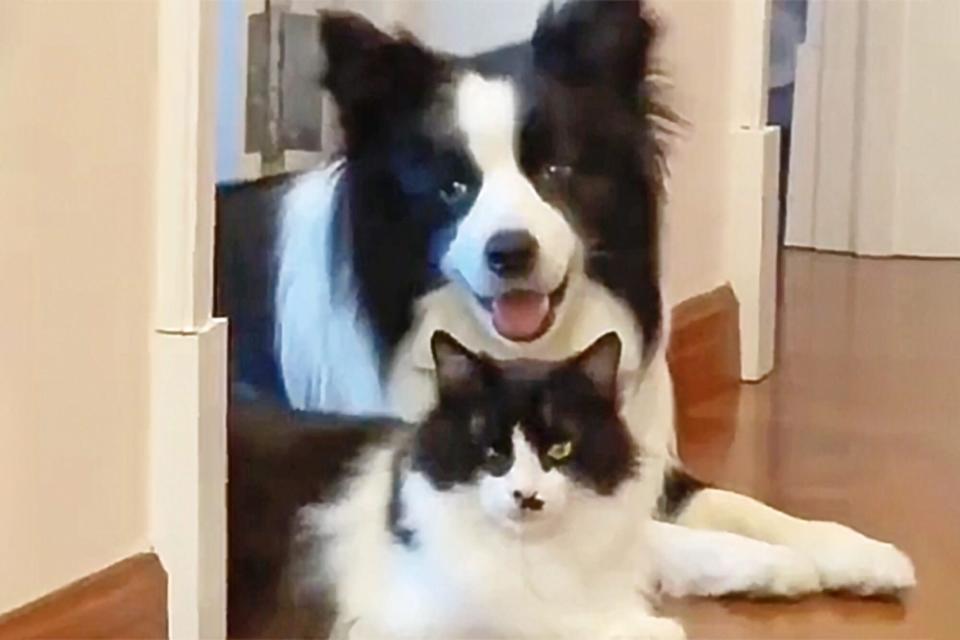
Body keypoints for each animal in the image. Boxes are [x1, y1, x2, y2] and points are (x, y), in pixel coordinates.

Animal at [218, 0, 916, 600]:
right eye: (452, 186)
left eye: (557, 169)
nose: (510, 252)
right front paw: (768, 563)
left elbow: (729, 498)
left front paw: (851, 549)